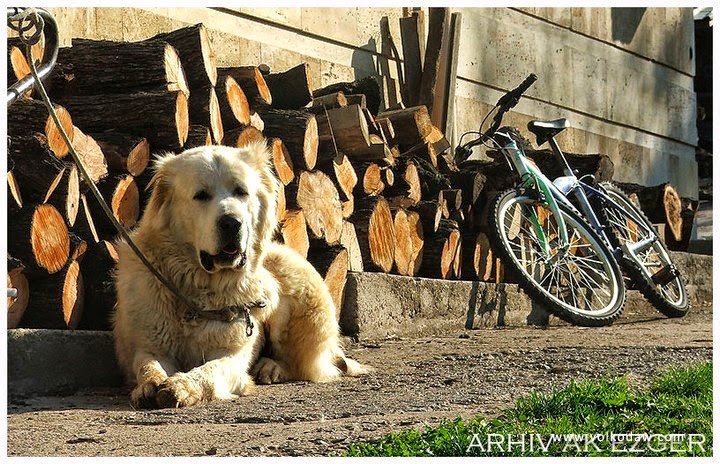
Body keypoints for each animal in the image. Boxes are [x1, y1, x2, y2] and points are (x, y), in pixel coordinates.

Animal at [114, 143, 372, 408]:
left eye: (241, 192)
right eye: (201, 195)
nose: (231, 223)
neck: (199, 291)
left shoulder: (233, 356)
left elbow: (209, 370)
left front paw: (181, 387)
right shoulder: (151, 346)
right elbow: (148, 366)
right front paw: (149, 386)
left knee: (301, 363)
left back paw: (270, 368)